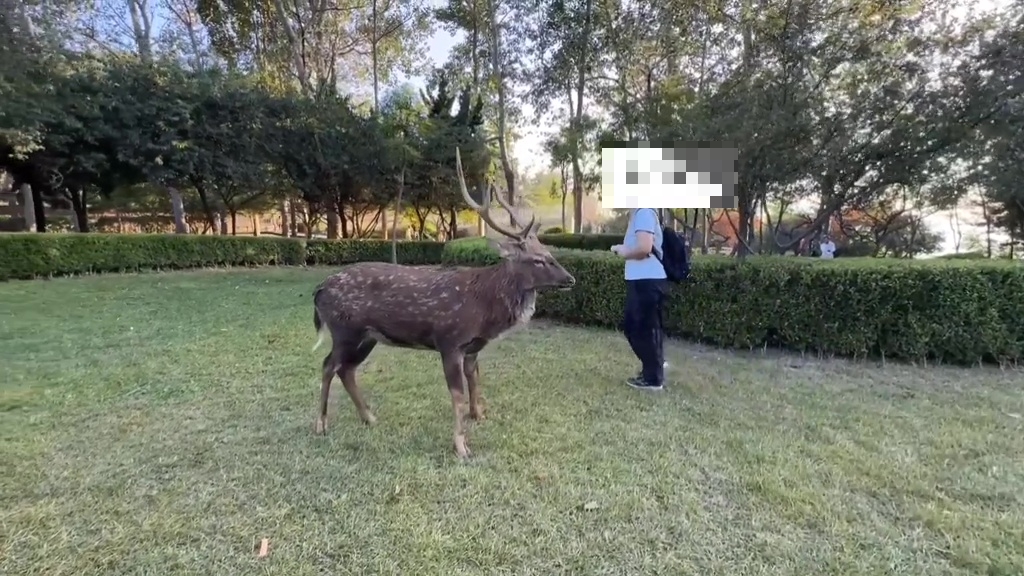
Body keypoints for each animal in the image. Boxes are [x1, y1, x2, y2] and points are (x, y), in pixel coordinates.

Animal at [310, 147, 576, 458]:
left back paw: (369, 418)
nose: (570, 279)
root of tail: (319, 289)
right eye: (537, 260)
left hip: (367, 336)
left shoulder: (473, 347)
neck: (485, 309)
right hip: (344, 329)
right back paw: (321, 425)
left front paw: (478, 415)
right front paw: (461, 446)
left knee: (347, 369)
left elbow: (474, 380)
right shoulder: (449, 340)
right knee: (328, 365)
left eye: (549, 253)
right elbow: (457, 394)